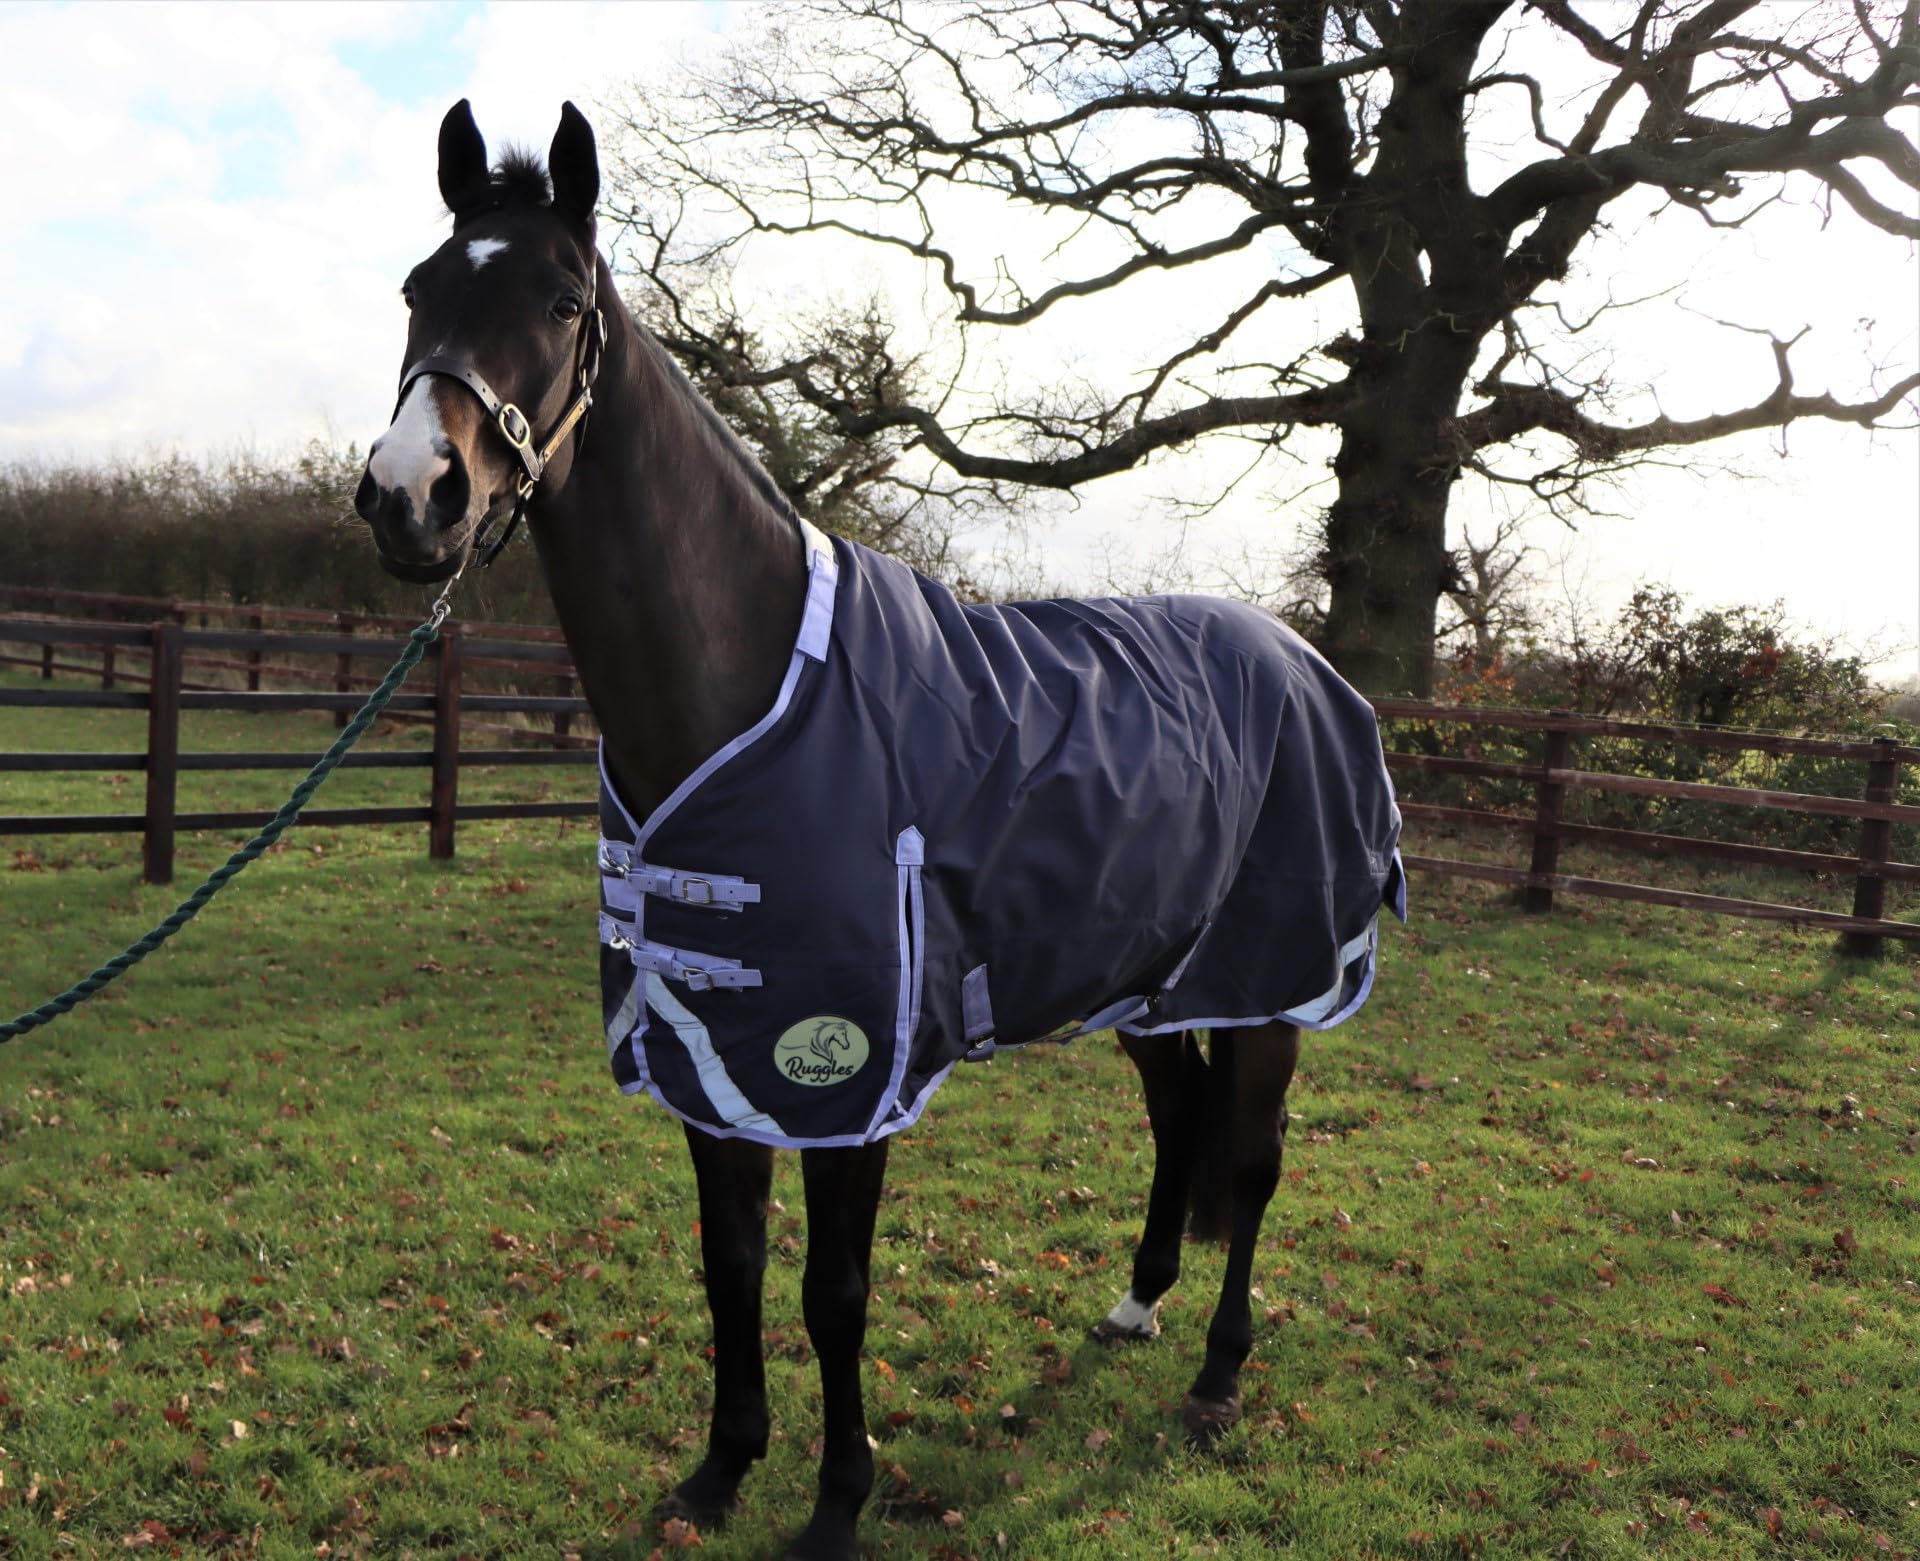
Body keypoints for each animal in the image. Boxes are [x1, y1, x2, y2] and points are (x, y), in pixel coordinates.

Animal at [354, 100, 1404, 1561]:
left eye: (562, 303)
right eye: (416, 291)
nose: (414, 495)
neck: (746, 685)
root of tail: (1312, 670)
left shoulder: (845, 1067)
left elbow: (834, 1291)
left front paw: (836, 1502)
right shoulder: (709, 1043)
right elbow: (729, 1263)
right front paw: (720, 1470)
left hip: (1274, 983)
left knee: (1247, 1162)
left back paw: (1216, 1377)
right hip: (1153, 980)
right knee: (1176, 1120)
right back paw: (1136, 1304)